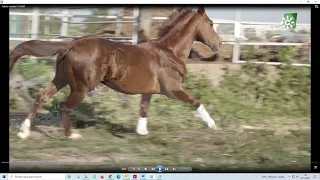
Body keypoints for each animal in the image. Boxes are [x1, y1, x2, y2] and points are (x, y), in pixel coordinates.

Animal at [9, 7, 220, 139]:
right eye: (210, 23)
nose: (218, 44)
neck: (169, 52)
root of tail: (72, 44)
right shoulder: (173, 89)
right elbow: (196, 101)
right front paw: (212, 124)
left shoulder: (148, 91)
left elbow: (144, 109)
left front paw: (142, 132)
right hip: (81, 88)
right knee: (64, 107)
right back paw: (71, 135)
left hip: (61, 79)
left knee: (41, 97)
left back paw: (23, 131)